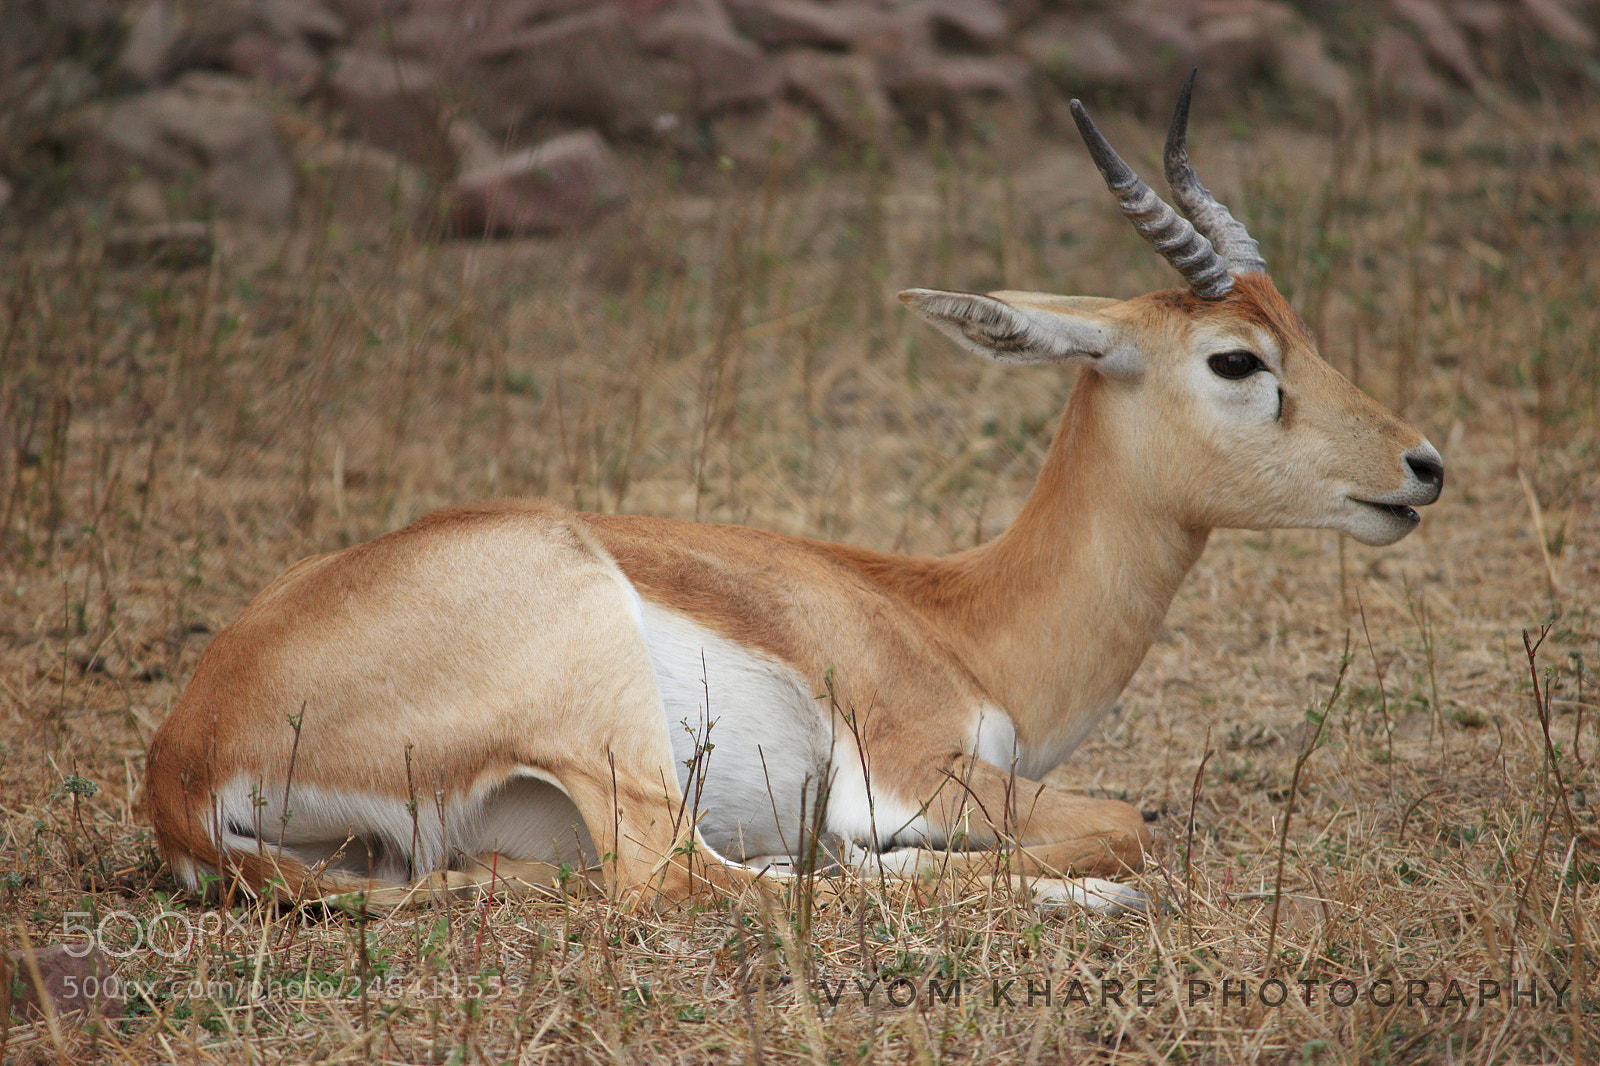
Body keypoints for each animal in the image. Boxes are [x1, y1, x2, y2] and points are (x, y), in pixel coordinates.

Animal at [139, 76, 1443, 917]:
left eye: (1296, 329)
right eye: (1236, 360)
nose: (1421, 467)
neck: (953, 619)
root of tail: (188, 758)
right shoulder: (914, 770)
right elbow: (1125, 818)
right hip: (607, 702)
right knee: (679, 876)